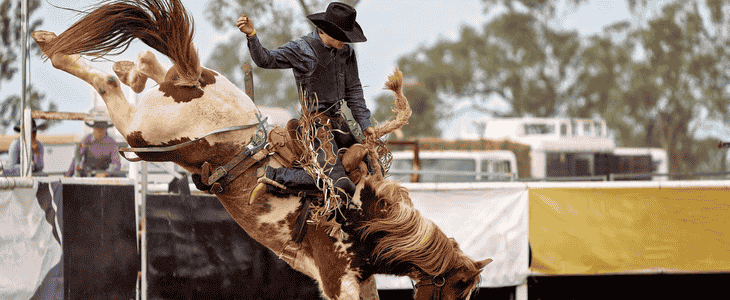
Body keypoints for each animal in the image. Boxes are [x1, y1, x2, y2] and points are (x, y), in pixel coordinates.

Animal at [32, 1, 490, 298]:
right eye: (457, 288)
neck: (364, 217)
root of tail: (197, 80)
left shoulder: (356, 280)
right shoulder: (338, 277)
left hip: (164, 116)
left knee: (150, 68)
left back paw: (119, 62)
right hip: (142, 133)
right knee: (113, 82)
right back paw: (54, 45)